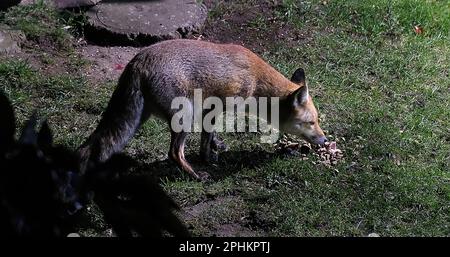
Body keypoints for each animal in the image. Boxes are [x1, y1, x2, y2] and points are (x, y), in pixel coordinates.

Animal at [79, 39, 326, 179]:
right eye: (311, 122)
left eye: (317, 121)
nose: (324, 141)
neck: (255, 79)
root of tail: (138, 61)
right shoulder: (216, 106)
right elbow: (205, 141)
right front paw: (208, 159)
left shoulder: (210, 110)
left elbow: (211, 135)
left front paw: (217, 147)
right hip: (184, 118)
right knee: (174, 153)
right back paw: (196, 175)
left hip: (141, 119)